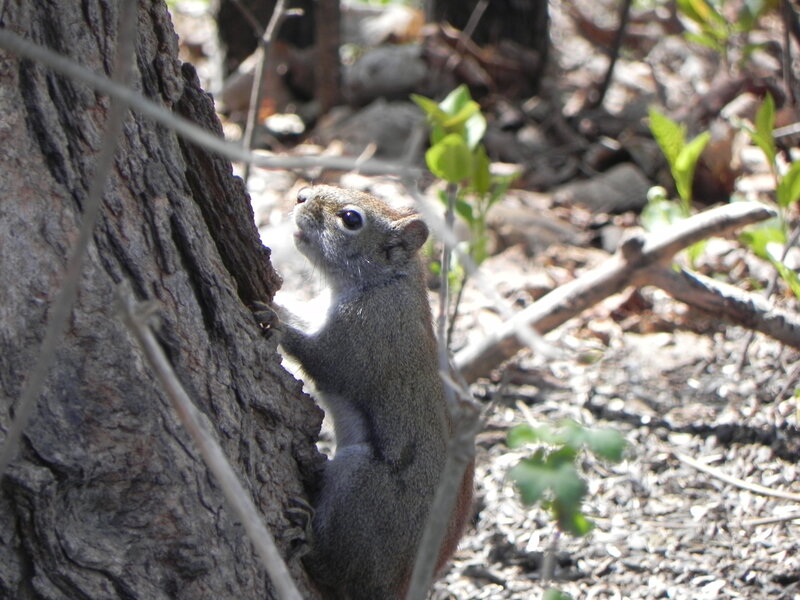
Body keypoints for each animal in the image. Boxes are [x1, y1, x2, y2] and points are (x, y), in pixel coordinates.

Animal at [262, 185, 472, 596]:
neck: (385, 283)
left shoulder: (365, 338)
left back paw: (309, 538)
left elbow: (323, 359)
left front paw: (274, 319)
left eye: (350, 219)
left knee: (338, 570)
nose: (301, 196)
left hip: (362, 487)